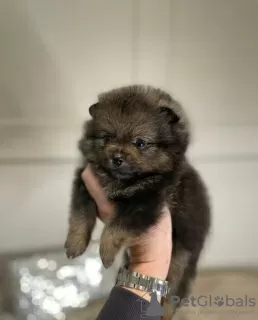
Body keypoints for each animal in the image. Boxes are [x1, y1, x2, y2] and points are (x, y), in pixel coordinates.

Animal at [65, 84, 211, 318]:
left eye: (140, 142)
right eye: (107, 137)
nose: (116, 158)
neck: (122, 181)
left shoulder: (146, 201)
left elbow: (116, 227)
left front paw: (106, 252)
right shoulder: (85, 183)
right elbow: (80, 215)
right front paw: (75, 244)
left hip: (181, 260)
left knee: (173, 295)